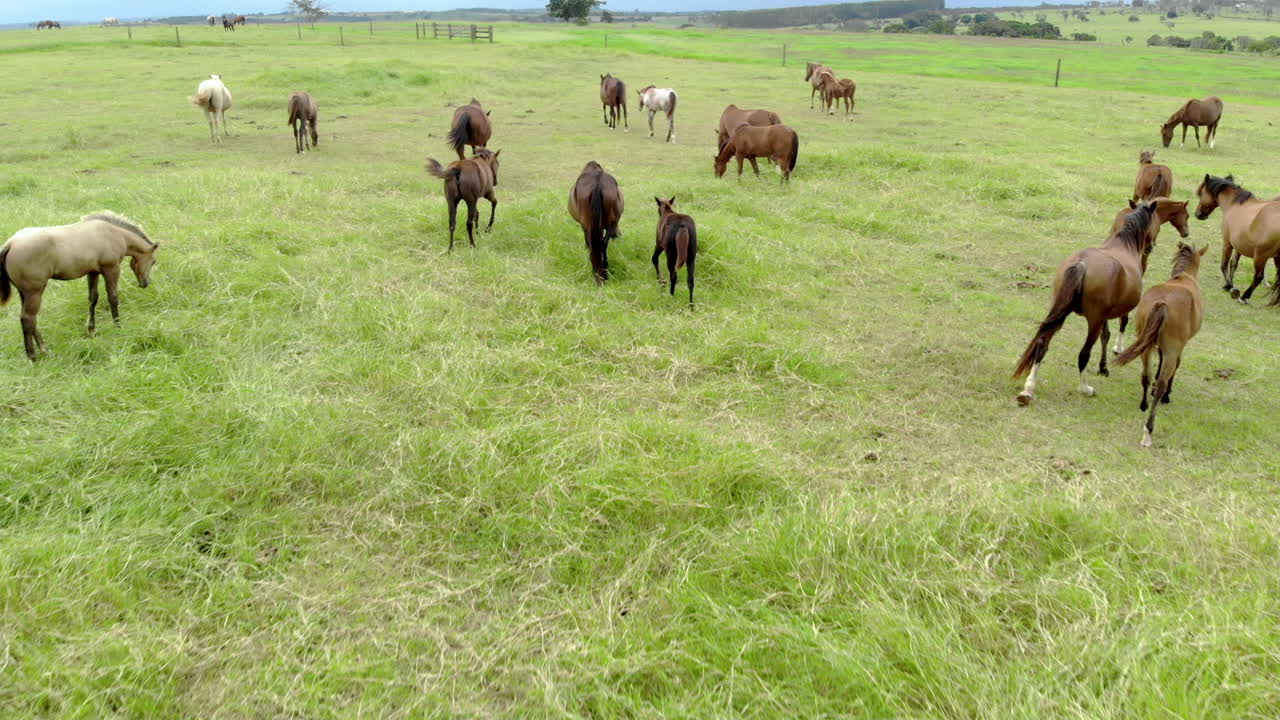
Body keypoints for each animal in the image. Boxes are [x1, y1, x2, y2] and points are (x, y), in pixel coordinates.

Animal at [0, 212, 159, 361]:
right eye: (153, 261)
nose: (145, 283)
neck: (114, 233)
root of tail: (10, 244)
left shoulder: (93, 272)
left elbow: (93, 298)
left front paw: (91, 330)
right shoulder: (111, 269)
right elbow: (113, 297)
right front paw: (118, 327)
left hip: (24, 293)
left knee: (31, 320)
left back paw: (44, 350)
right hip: (34, 292)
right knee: (28, 319)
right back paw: (33, 355)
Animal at [1013, 201, 1161, 406]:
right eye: (1157, 223)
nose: (1151, 247)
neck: (1124, 244)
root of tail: (1081, 264)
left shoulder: (1105, 315)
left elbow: (1106, 336)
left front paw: (1103, 367)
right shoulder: (1110, 315)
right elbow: (1113, 331)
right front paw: (1104, 366)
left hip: (1060, 313)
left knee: (1042, 344)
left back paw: (1028, 389)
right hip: (1093, 322)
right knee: (1083, 354)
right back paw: (1085, 388)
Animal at [1113, 243, 1208, 447]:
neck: (1183, 279)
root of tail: (1162, 303)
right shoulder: (1178, 348)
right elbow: (1175, 367)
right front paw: (1167, 395)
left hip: (1145, 347)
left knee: (1145, 376)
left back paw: (1143, 404)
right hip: (1171, 348)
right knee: (1162, 382)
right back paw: (1149, 427)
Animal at [1194, 173, 1280, 305]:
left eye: (1200, 194)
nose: (1197, 214)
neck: (1234, 205)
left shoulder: (1227, 243)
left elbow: (1224, 265)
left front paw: (1230, 286)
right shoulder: (1239, 245)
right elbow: (1233, 264)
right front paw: (1228, 285)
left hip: (1261, 256)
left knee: (1258, 277)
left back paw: (1244, 297)